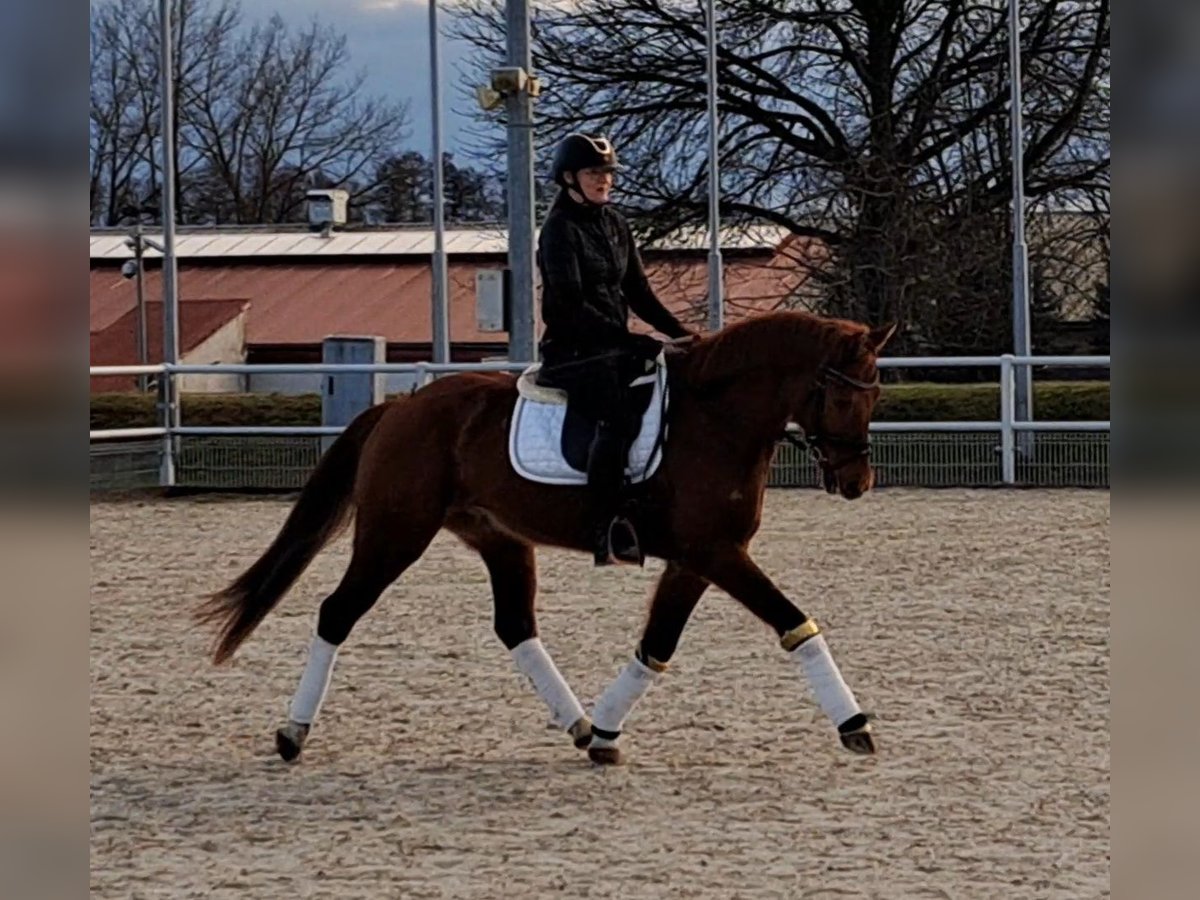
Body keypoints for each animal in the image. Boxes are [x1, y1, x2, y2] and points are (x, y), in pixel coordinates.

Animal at [196, 312, 897, 768]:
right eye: (843, 397)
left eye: (876, 395)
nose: (857, 482)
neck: (714, 419)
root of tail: (401, 408)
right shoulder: (716, 555)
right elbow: (794, 624)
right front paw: (855, 725)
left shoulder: (698, 561)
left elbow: (657, 645)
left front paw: (608, 732)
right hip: (394, 535)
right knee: (337, 613)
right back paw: (292, 733)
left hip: (501, 539)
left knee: (515, 626)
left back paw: (581, 726)